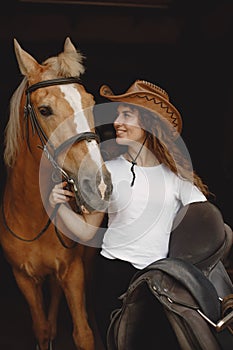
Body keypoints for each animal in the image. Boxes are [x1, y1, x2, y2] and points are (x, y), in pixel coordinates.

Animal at [0, 38, 112, 350]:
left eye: (90, 103)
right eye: (45, 110)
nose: (99, 184)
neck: (31, 215)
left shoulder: (73, 272)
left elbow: (83, 334)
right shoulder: (23, 278)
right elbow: (40, 329)